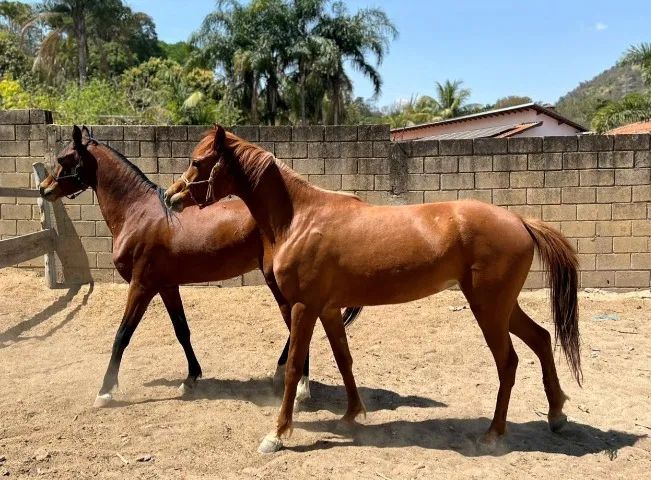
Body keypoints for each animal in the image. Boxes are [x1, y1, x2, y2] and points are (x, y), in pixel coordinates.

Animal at [38, 125, 361, 408]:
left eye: (64, 159)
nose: (43, 188)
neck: (138, 213)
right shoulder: (166, 286)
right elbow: (182, 330)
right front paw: (191, 377)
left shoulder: (141, 286)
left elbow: (122, 335)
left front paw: (105, 391)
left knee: (298, 327)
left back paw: (300, 388)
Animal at [163, 125, 582, 454]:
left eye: (198, 161)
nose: (171, 197)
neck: (300, 218)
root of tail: (520, 221)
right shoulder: (328, 308)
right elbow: (344, 359)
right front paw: (351, 414)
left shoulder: (303, 307)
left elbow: (294, 367)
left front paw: (278, 434)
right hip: (501, 306)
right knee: (541, 338)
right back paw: (556, 414)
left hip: (489, 308)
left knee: (508, 362)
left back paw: (494, 434)